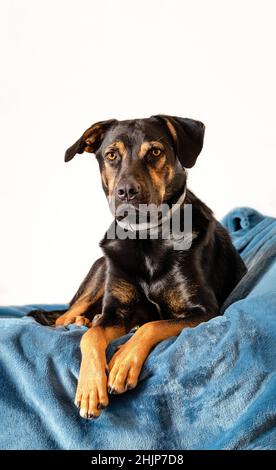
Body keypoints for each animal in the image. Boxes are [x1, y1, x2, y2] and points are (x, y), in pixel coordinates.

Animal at [29, 115, 246, 420]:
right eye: (111, 155)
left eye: (155, 152)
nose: (127, 192)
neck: (147, 240)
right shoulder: (116, 311)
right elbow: (92, 336)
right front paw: (89, 389)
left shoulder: (205, 312)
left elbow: (153, 325)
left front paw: (123, 362)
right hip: (100, 271)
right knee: (64, 318)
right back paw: (81, 320)